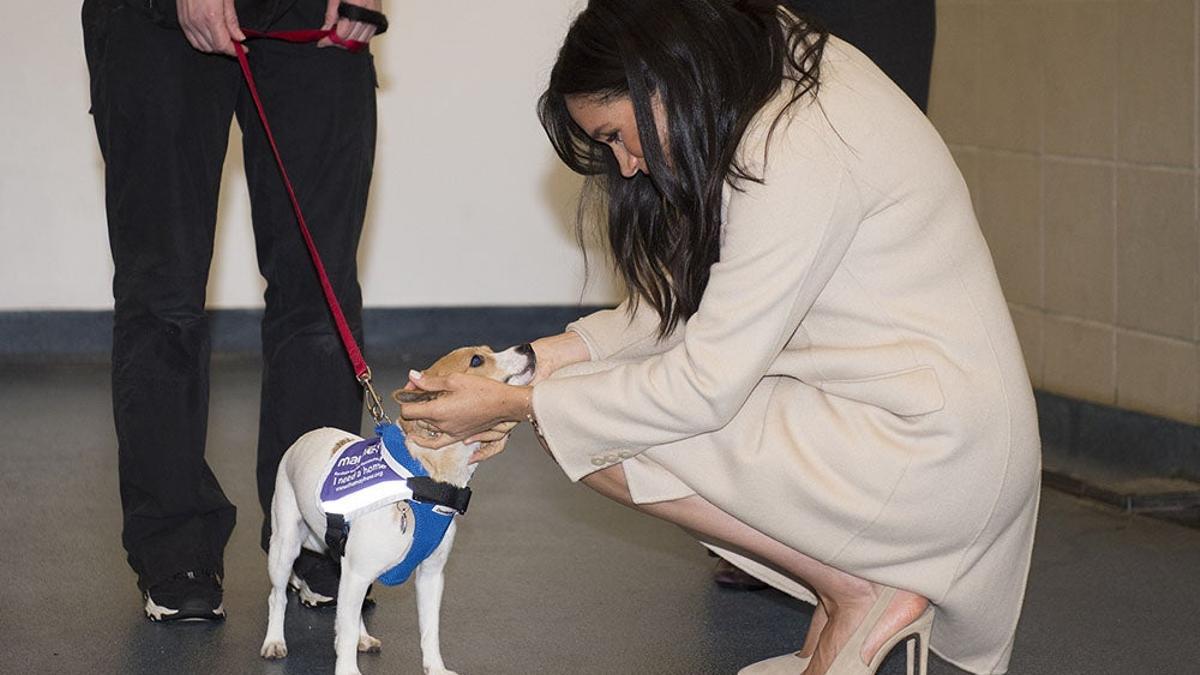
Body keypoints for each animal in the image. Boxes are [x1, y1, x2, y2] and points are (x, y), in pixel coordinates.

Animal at [261, 343, 535, 667]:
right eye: (477, 360)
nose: (527, 347)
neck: (419, 480)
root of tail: (304, 438)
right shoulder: (358, 572)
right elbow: (345, 629)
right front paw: (347, 669)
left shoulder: (429, 576)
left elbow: (429, 630)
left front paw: (435, 668)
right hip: (285, 546)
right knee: (278, 596)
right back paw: (274, 640)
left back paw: (363, 637)